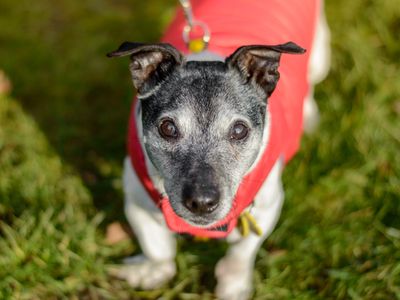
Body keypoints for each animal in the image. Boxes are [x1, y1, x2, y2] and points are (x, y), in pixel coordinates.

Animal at [108, 1, 330, 298]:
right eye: (167, 128)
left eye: (239, 130)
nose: (201, 203)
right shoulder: (136, 198)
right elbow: (158, 250)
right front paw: (150, 273)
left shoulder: (267, 207)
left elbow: (240, 256)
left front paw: (233, 287)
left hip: (319, 54)